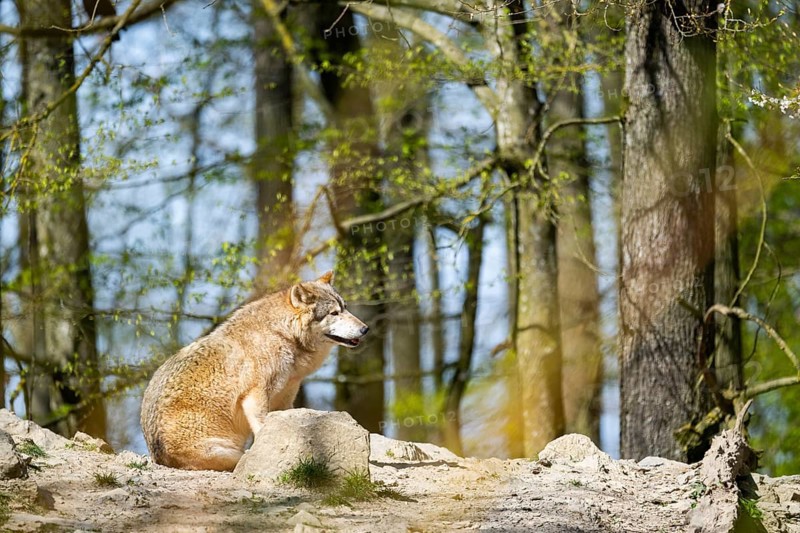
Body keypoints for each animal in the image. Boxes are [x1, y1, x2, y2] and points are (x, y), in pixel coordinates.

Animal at [139, 271, 368, 471]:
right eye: (334, 313)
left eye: (345, 308)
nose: (365, 329)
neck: (282, 334)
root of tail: (159, 458)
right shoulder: (255, 395)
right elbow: (262, 428)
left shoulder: (286, 398)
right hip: (227, 449)